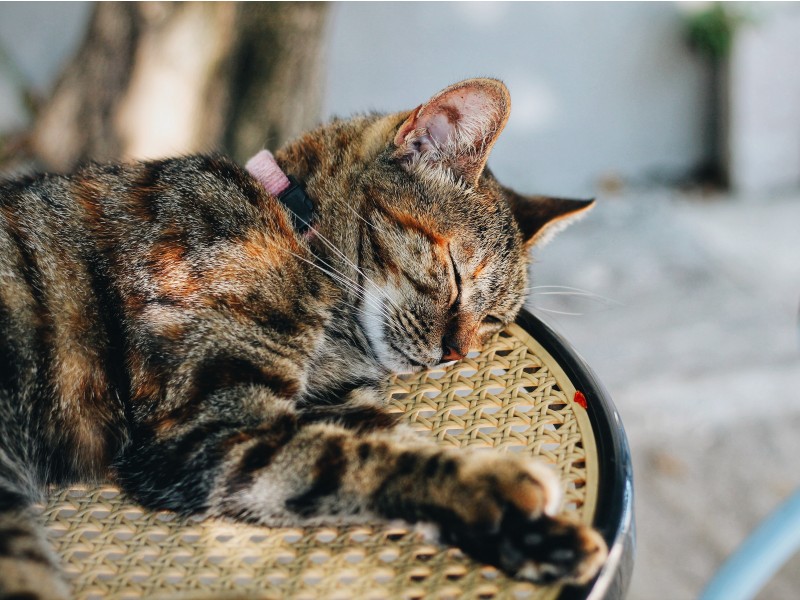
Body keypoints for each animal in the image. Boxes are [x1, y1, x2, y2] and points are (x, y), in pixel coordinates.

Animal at [0, 77, 608, 596]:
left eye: (493, 321)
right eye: (457, 275)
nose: (454, 353)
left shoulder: (332, 411)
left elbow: (393, 448)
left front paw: (538, 538)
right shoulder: (207, 428)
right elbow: (360, 462)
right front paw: (498, 489)